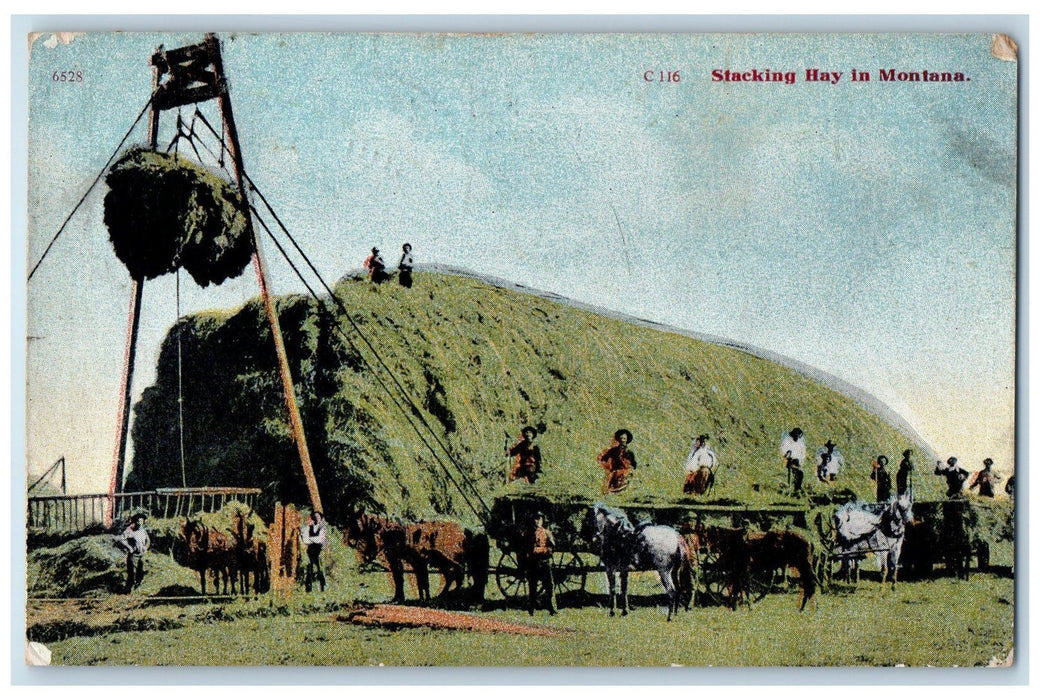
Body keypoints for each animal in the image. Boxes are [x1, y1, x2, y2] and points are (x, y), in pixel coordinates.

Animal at [341, 509, 486, 603]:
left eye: (352, 523)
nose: (345, 541)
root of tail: (471, 529)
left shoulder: (397, 559)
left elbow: (400, 578)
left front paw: (399, 598)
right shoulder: (414, 562)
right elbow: (418, 581)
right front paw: (416, 598)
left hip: (451, 560)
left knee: (458, 576)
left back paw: (451, 595)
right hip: (449, 562)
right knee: (465, 577)